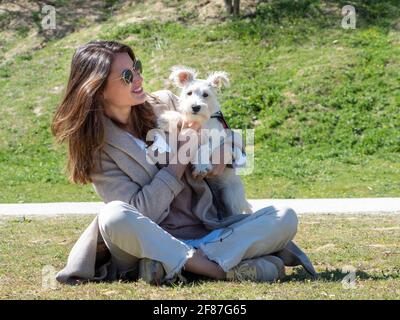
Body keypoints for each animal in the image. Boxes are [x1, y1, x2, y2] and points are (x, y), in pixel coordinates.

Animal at [157, 66, 253, 219]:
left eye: (206, 95)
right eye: (189, 93)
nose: (195, 107)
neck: (201, 121)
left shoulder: (216, 139)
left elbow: (203, 148)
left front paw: (201, 166)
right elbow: (181, 118)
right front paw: (167, 119)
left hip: (230, 196)